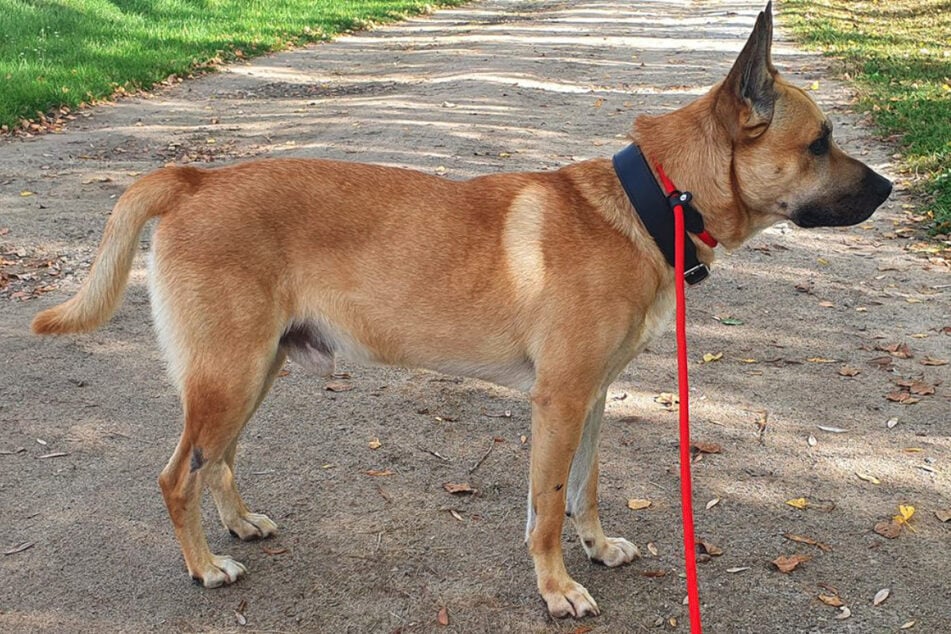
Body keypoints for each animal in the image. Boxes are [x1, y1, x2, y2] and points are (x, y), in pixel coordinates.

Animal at [31, 2, 892, 616]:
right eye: (818, 143)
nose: (890, 189)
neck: (651, 201)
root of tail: (194, 179)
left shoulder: (591, 398)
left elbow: (585, 487)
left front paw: (595, 546)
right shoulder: (559, 400)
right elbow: (546, 505)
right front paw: (555, 587)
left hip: (254, 374)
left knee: (219, 464)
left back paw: (238, 524)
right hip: (228, 378)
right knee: (178, 476)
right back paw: (206, 566)